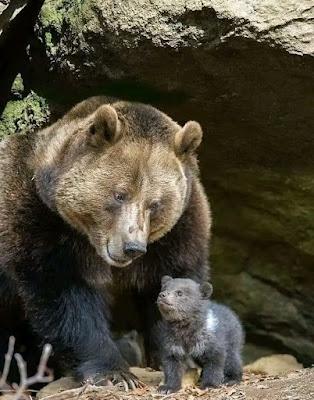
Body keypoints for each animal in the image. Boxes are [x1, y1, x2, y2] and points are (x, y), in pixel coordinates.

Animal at [0, 96, 211, 388]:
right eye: (119, 194)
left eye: (155, 204)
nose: (132, 247)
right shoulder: (38, 221)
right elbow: (67, 298)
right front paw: (116, 373)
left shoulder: (178, 234)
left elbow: (174, 283)